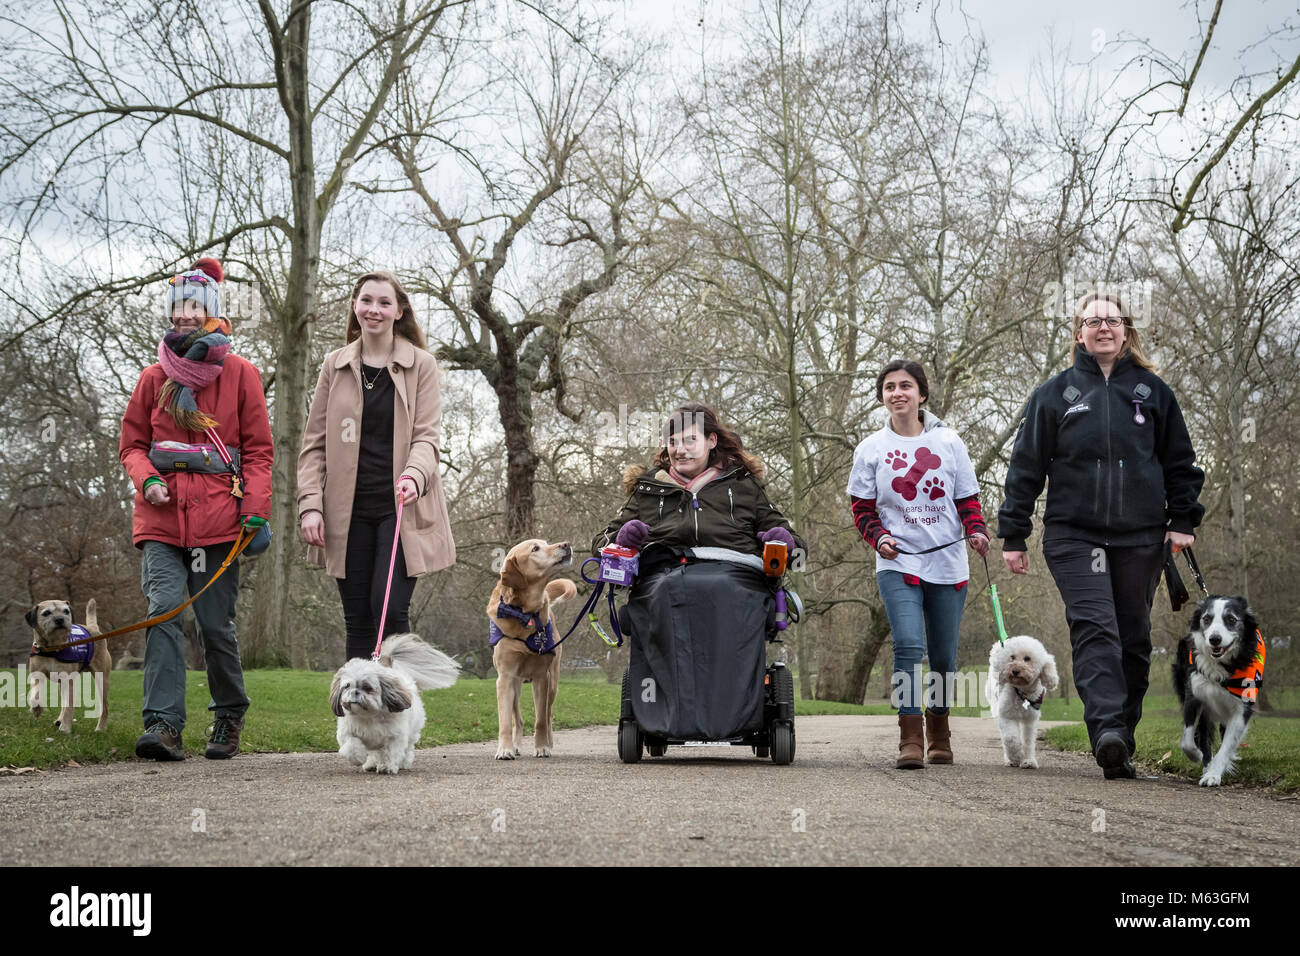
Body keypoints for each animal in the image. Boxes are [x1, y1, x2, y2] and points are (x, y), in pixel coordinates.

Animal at [330, 632, 462, 775]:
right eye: (347, 686)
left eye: (367, 687)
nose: (354, 692)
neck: (369, 715)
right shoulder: (347, 732)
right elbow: (351, 745)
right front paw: (358, 758)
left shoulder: (395, 737)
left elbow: (389, 753)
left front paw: (386, 767)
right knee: (374, 753)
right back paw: (371, 764)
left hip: (412, 732)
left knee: (407, 749)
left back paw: (404, 763)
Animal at [982, 634, 1055, 770]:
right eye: (1012, 657)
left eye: (1027, 658)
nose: (1015, 670)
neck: (1022, 694)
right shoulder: (1007, 716)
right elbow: (1011, 739)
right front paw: (1016, 757)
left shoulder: (1030, 720)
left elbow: (1028, 741)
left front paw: (1029, 761)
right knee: (1005, 738)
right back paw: (1009, 759)